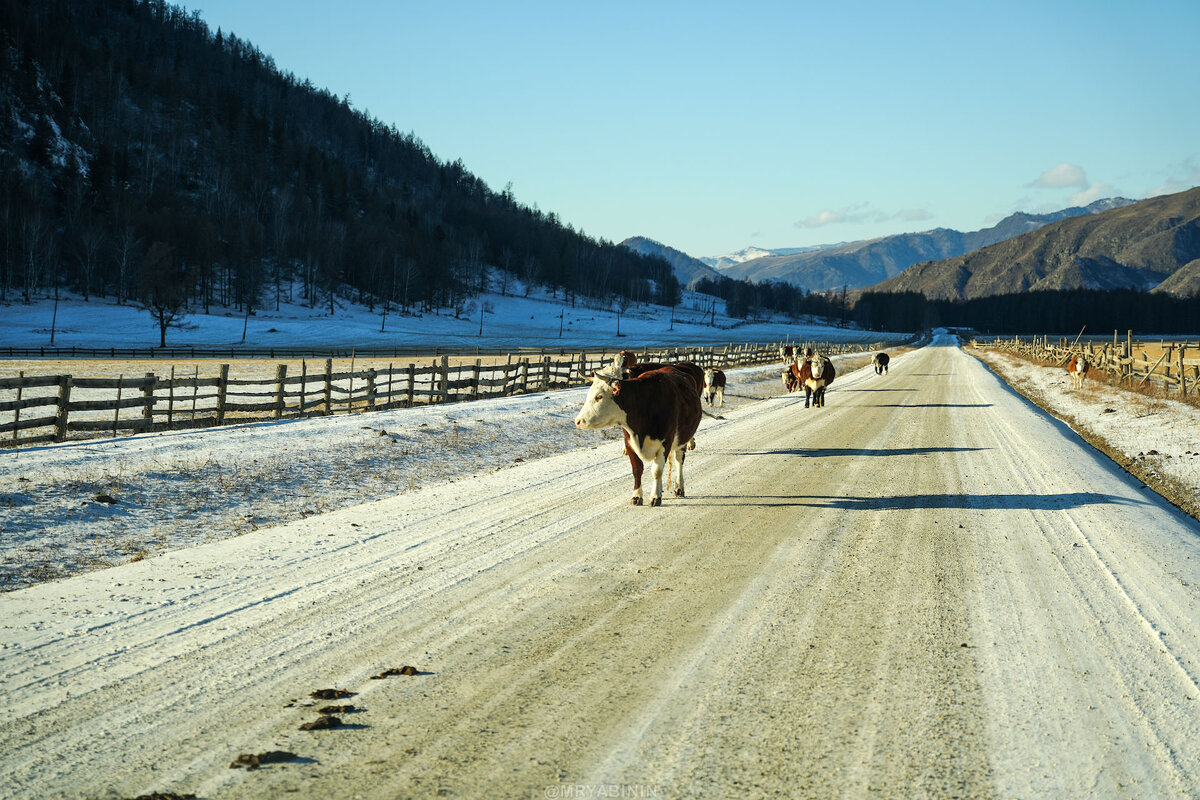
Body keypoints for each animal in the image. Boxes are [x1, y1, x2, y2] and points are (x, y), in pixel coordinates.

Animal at [573, 367, 700, 506]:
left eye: (599, 397)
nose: (578, 421)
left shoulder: (665, 442)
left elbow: (657, 471)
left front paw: (655, 497)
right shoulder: (629, 443)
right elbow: (637, 469)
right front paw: (637, 496)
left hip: (682, 440)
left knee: (678, 461)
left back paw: (679, 488)